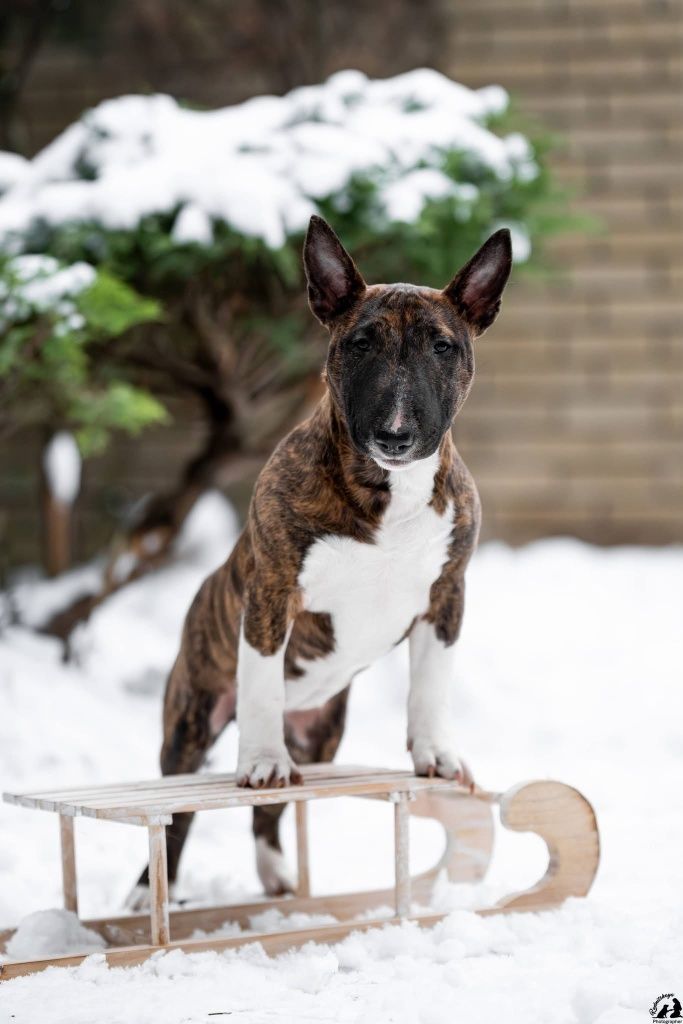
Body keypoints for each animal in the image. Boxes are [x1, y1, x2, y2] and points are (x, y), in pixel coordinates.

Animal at [129, 215, 512, 905]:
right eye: (359, 343)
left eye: (443, 346)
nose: (396, 434)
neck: (386, 491)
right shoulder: (272, 592)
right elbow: (259, 687)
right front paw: (259, 761)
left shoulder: (446, 597)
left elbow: (430, 686)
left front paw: (435, 755)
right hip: (190, 722)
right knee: (179, 811)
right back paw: (152, 891)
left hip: (321, 733)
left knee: (270, 815)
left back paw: (278, 876)